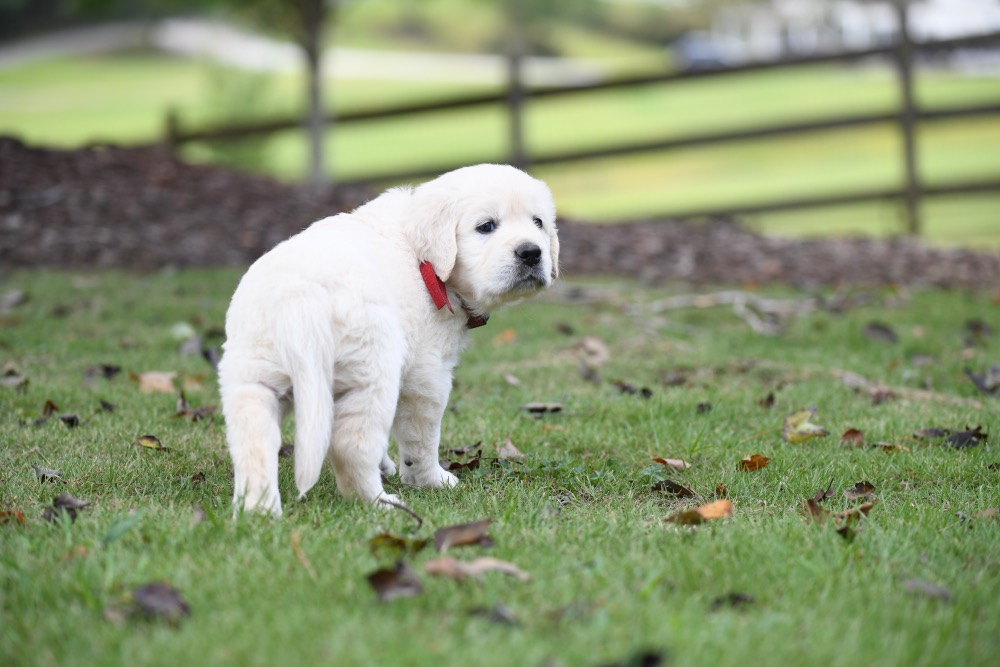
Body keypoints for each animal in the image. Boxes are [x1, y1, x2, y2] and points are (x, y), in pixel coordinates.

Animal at [219, 163, 560, 516]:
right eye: (486, 226)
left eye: (539, 222)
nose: (531, 252)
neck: (424, 261)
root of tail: (298, 298)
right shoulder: (427, 375)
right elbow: (421, 438)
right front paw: (431, 479)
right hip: (372, 372)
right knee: (350, 445)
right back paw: (381, 502)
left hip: (253, 375)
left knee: (254, 442)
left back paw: (258, 513)